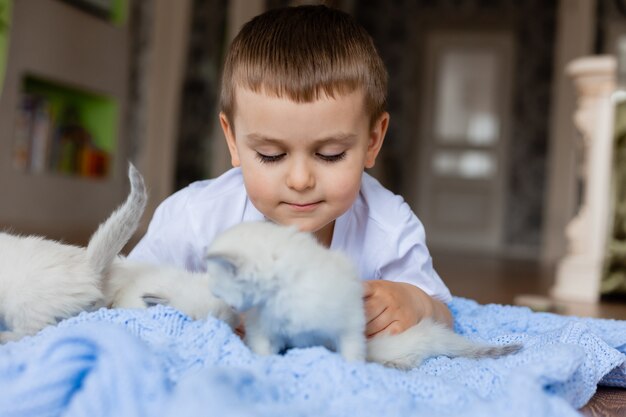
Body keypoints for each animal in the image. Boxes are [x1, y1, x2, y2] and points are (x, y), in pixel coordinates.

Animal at [202, 221, 520, 368]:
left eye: (218, 283)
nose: (216, 296)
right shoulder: (265, 329)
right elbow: (263, 348)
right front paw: (264, 363)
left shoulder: (348, 322)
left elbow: (351, 351)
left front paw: (352, 370)